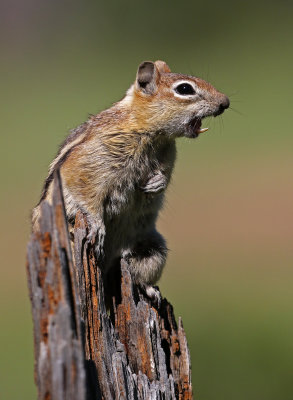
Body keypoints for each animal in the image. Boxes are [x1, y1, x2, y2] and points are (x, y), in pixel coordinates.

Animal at [32, 60, 228, 300]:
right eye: (184, 89)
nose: (225, 102)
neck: (151, 134)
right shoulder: (88, 163)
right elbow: (85, 191)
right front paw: (97, 224)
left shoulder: (168, 157)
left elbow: (165, 175)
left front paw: (157, 183)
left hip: (151, 249)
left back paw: (150, 289)